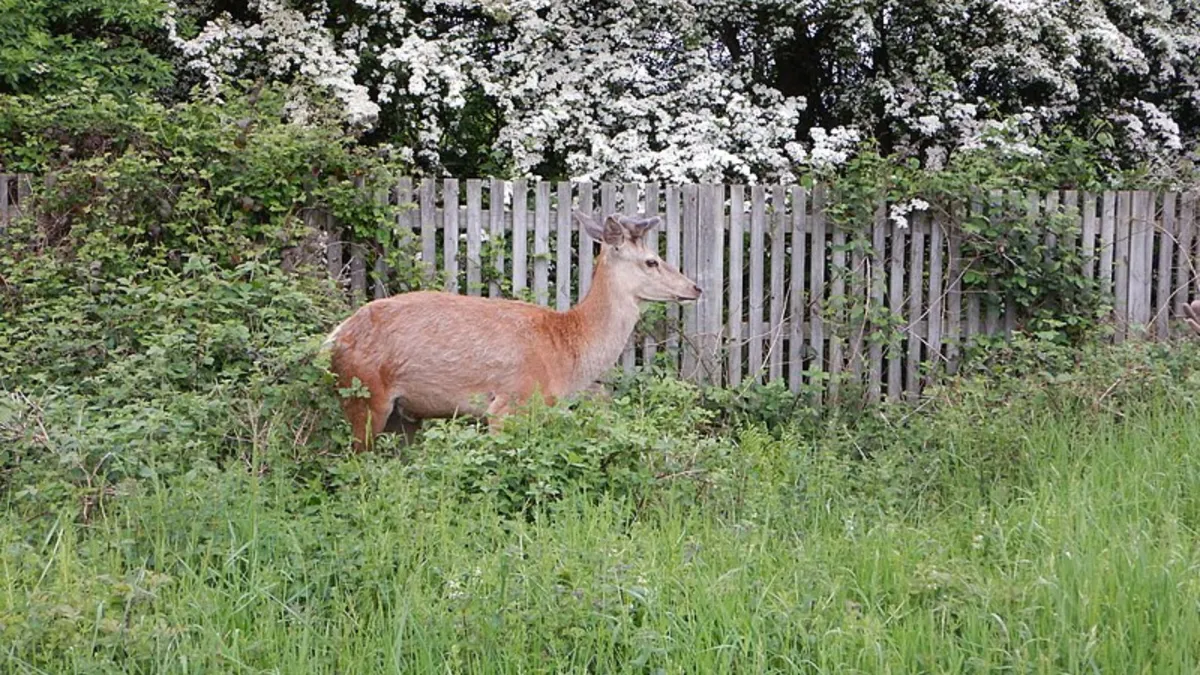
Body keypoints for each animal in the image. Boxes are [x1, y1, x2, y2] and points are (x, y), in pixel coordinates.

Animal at [323, 210, 702, 452]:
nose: (695, 287)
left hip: (404, 416)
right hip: (363, 394)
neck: (566, 353)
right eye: (652, 260)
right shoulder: (510, 404)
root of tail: (333, 338)